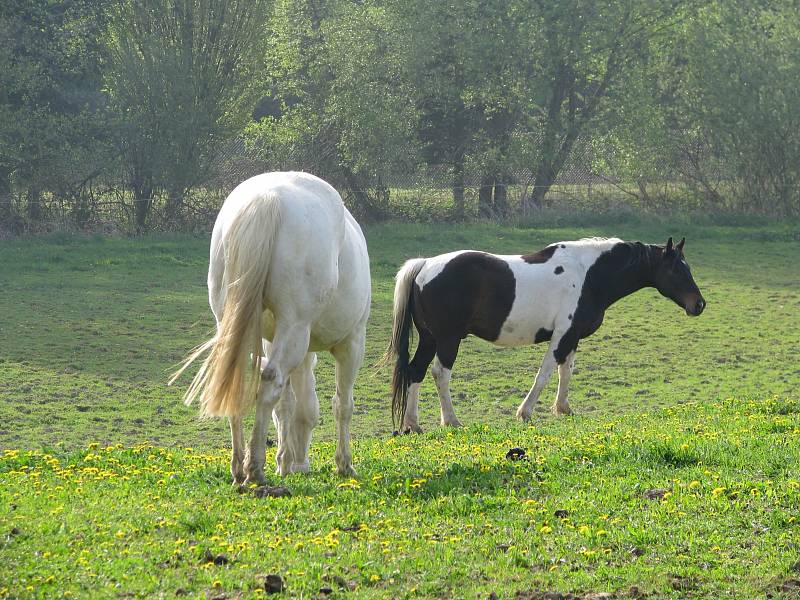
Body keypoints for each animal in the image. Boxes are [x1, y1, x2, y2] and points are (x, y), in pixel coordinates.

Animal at [173, 172, 372, 482]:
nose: (302, 464)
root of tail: (267, 198)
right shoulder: (352, 343)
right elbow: (342, 405)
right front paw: (343, 464)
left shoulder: (274, 342)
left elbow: (288, 405)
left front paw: (284, 462)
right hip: (296, 328)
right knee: (269, 383)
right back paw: (254, 468)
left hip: (236, 326)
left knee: (239, 382)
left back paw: (238, 467)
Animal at [388, 238, 708, 432]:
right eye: (677, 270)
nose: (699, 304)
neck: (587, 274)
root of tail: (425, 265)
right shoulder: (561, 336)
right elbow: (544, 374)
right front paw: (525, 412)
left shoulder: (573, 336)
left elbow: (566, 372)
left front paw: (564, 409)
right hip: (448, 339)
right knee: (440, 373)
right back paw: (451, 421)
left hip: (430, 339)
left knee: (415, 372)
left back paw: (413, 424)